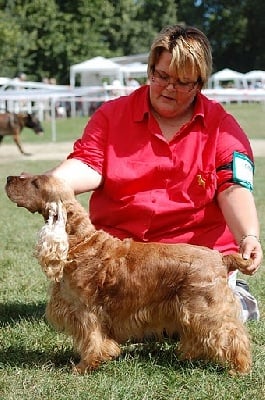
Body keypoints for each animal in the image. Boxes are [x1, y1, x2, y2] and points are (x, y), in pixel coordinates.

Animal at [5, 175, 251, 376]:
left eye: (35, 183)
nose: (7, 178)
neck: (80, 241)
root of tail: (221, 258)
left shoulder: (86, 310)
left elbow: (92, 339)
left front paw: (84, 366)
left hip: (206, 307)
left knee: (232, 334)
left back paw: (239, 368)